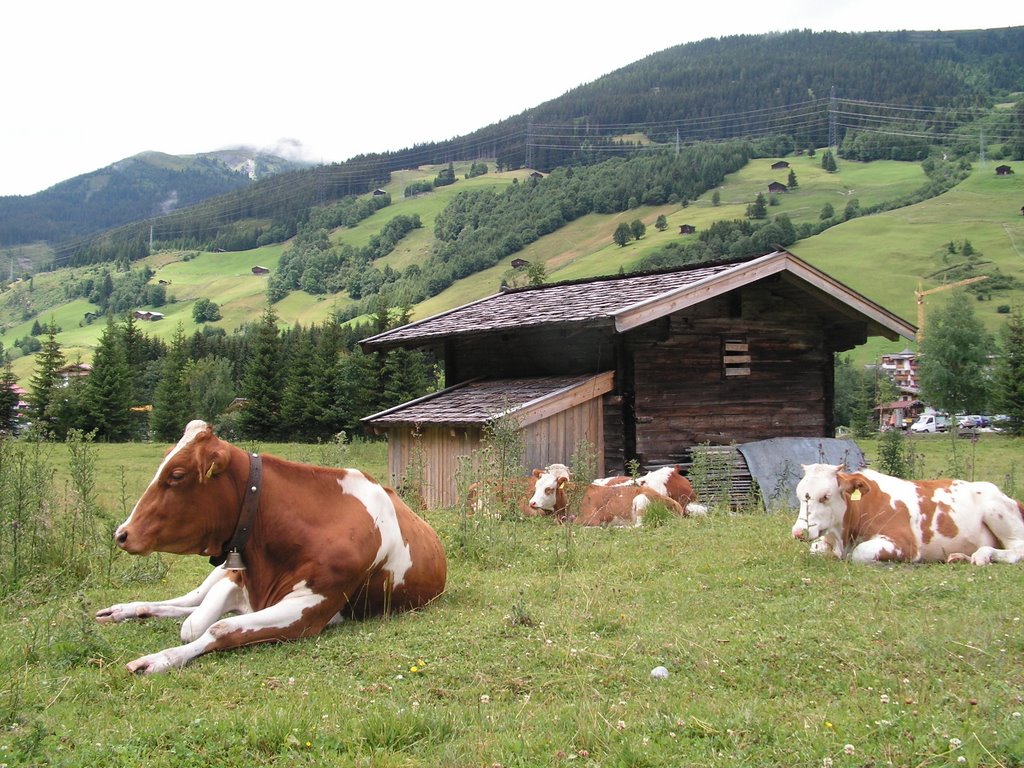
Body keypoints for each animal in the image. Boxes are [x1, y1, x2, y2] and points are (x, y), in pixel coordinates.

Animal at [96, 421, 448, 671]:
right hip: (218, 575)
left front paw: (156, 660)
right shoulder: (236, 579)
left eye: (177, 475)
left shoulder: (311, 608)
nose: (122, 534)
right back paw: (124, 609)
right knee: (187, 600)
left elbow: (216, 627)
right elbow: (195, 623)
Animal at [790, 462, 1024, 565]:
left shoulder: (904, 543)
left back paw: (983, 555)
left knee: (1016, 550)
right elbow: (816, 548)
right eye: (799, 495)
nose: (798, 532)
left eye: (825, 496)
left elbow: (860, 553)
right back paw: (959, 556)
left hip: (996, 511)